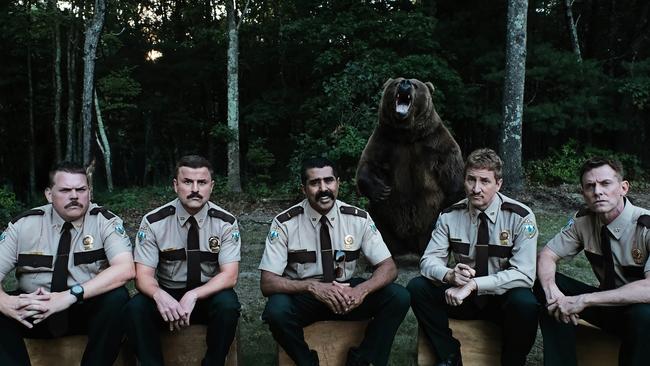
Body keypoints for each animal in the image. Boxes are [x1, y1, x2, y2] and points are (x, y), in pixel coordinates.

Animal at [354, 77, 466, 254]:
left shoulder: (435, 142)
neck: (407, 134)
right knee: (377, 222)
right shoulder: (384, 140)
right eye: (396, 82)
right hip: (384, 216)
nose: (405, 82)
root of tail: (411, 246)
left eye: (415, 84)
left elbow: (452, 173)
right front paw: (381, 190)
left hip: (430, 220)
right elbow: (367, 164)